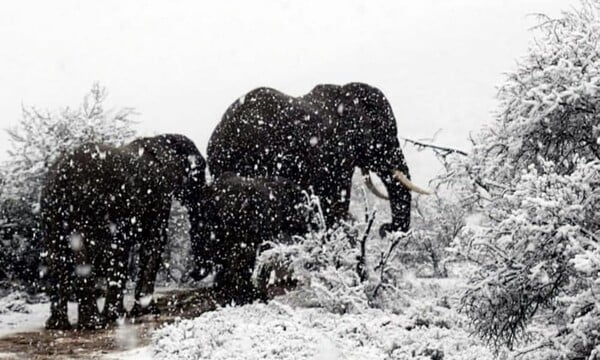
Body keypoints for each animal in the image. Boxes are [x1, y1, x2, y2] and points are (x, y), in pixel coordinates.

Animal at [41, 134, 206, 330]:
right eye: (200, 170)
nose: (193, 275)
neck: (160, 139)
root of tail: (60, 178)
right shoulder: (158, 195)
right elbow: (153, 241)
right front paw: (144, 311)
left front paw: (123, 314)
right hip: (86, 207)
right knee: (83, 255)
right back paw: (95, 324)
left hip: (51, 211)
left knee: (56, 256)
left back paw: (58, 326)